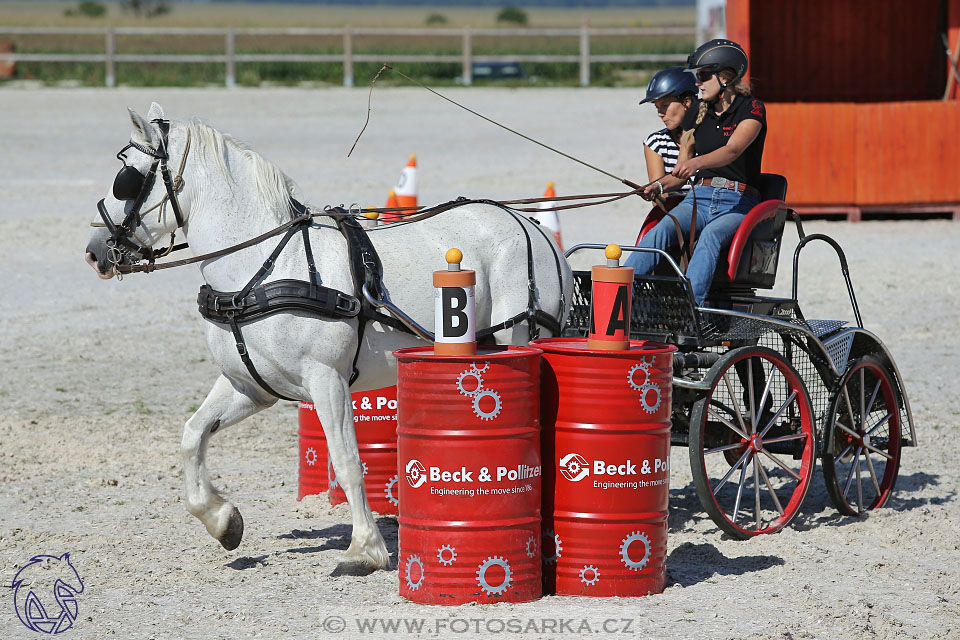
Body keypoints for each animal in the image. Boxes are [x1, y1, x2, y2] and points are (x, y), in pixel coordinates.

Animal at [84, 104, 568, 576]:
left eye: (127, 178)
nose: (93, 251)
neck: (261, 267)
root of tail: (534, 229)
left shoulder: (326, 380)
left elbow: (347, 460)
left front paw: (365, 549)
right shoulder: (250, 386)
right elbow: (192, 434)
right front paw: (222, 520)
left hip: (515, 337)